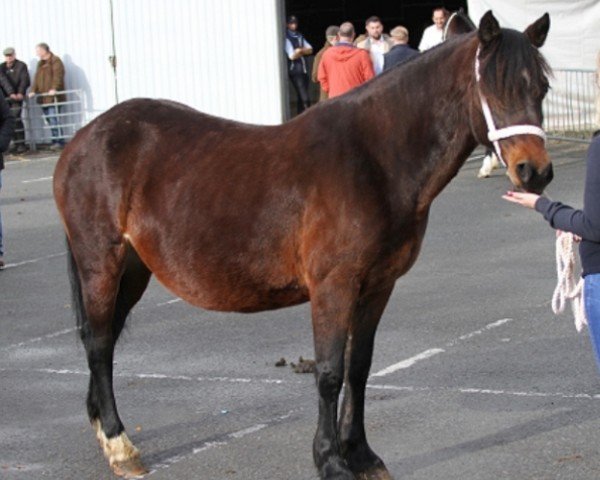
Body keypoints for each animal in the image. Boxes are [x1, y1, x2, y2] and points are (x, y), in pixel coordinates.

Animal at [56, 11, 552, 480]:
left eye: (543, 86)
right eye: (492, 87)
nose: (535, 172)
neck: (373, 160)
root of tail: (84, 138)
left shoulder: (377, 286)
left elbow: (359, 367)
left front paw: (362, 455)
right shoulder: (334, 286)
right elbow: (330, 373)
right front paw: (330, 460)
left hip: (133, 269)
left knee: (105, 339)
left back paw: (103, 430)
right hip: (101, 263)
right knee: (99, 342)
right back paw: (120, 445)